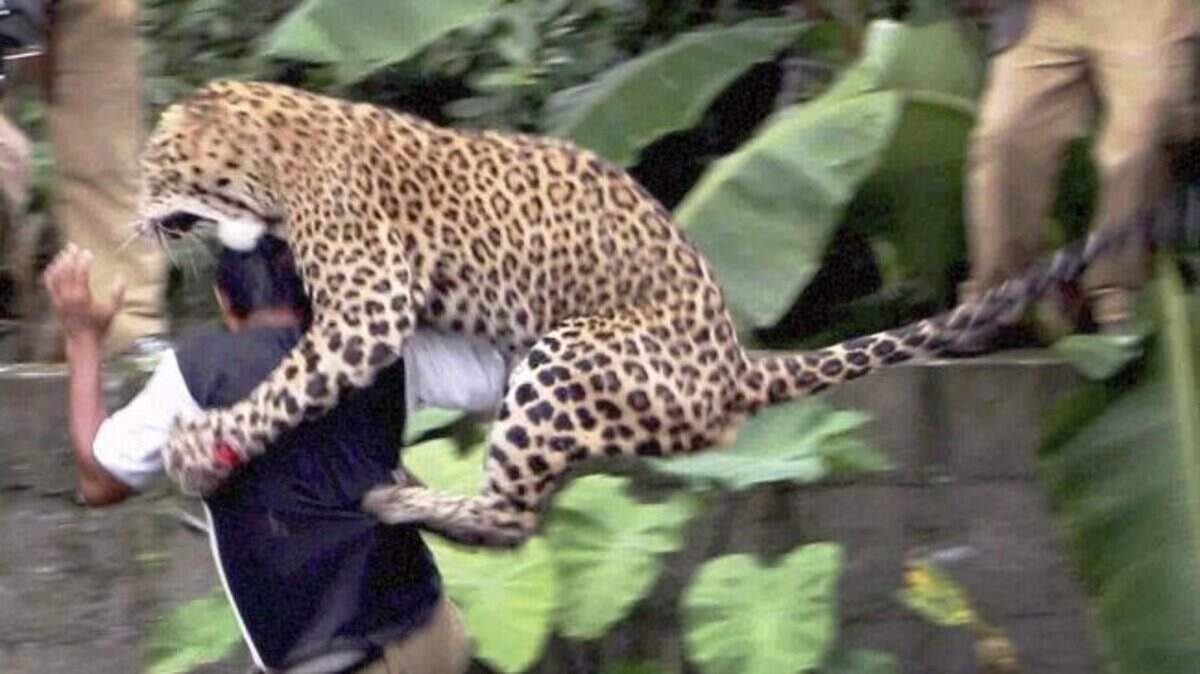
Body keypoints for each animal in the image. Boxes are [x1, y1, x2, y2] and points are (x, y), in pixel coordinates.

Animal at [136, 79, 1147, 548]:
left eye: (152, 167)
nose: (134, 218)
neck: (269, 156)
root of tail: (737, 358)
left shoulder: (369, 307)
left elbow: (287, 381)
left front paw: (203, 443)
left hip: (566, 357)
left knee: (514, 517)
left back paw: (402, 497)